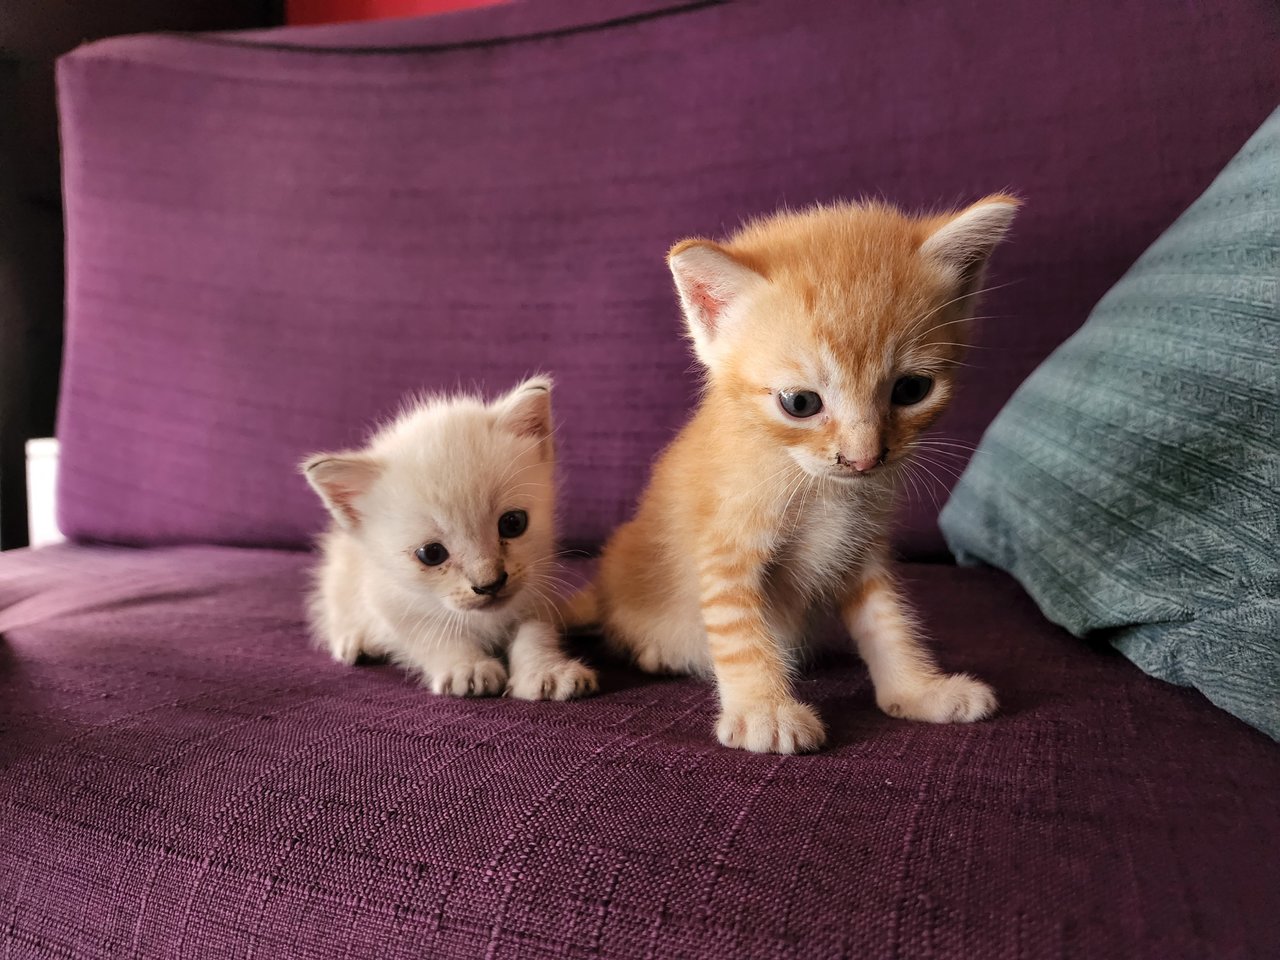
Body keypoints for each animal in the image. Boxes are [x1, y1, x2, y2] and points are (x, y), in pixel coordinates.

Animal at [302, 378, 596, 701]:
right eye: (431, 554)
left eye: (513, 523)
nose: (490, 584)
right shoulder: (390, 599)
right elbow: (432, 635)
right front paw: (468, 668)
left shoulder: (537, 583)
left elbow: (536, 632)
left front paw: (547, 672)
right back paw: (356, 640)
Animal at [570, 193, 1018, 752]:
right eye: (800, 403)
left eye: (912, 390)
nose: (864, 458)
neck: (820, 488)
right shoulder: (725, 550)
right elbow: (739, 631)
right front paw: (765, 710)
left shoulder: (861, 552)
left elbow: (888, 621)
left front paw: (919, 691)